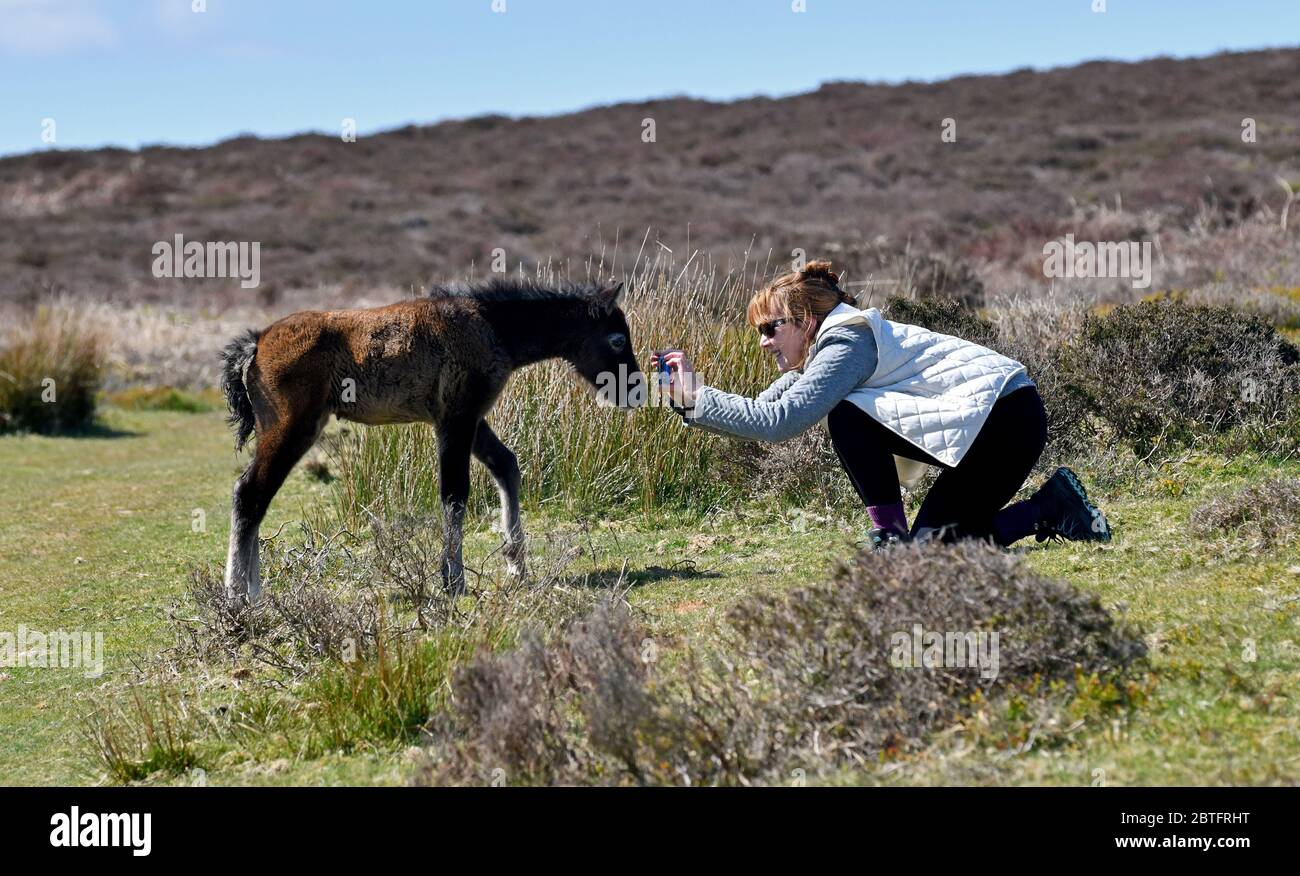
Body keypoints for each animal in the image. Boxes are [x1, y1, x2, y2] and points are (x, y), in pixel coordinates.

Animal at [226, 278, 647, 600]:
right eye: (616, 339)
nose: (635, 391)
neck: (493, 327)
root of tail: (256, 344)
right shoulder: (454, 419)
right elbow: (454, 493)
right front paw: (454, 580)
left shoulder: (472, 419)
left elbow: (506, 465)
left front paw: (516, 563)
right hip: (291, 429)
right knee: (250, 493)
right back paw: (238, 595)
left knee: (253, 497)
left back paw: (252, 590)